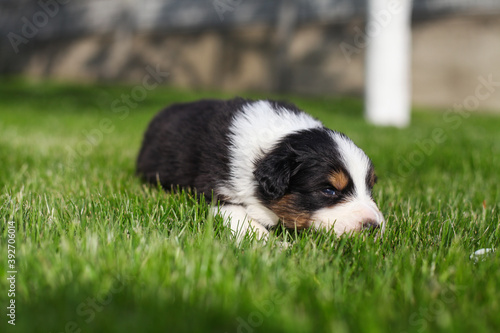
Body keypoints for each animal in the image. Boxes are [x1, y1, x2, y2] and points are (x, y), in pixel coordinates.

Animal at [135, 98, 384, 241]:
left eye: (369, 188)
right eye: (329, 190)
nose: (374, 227)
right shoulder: (216, 189)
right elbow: (242, 219)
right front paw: (274, 246)